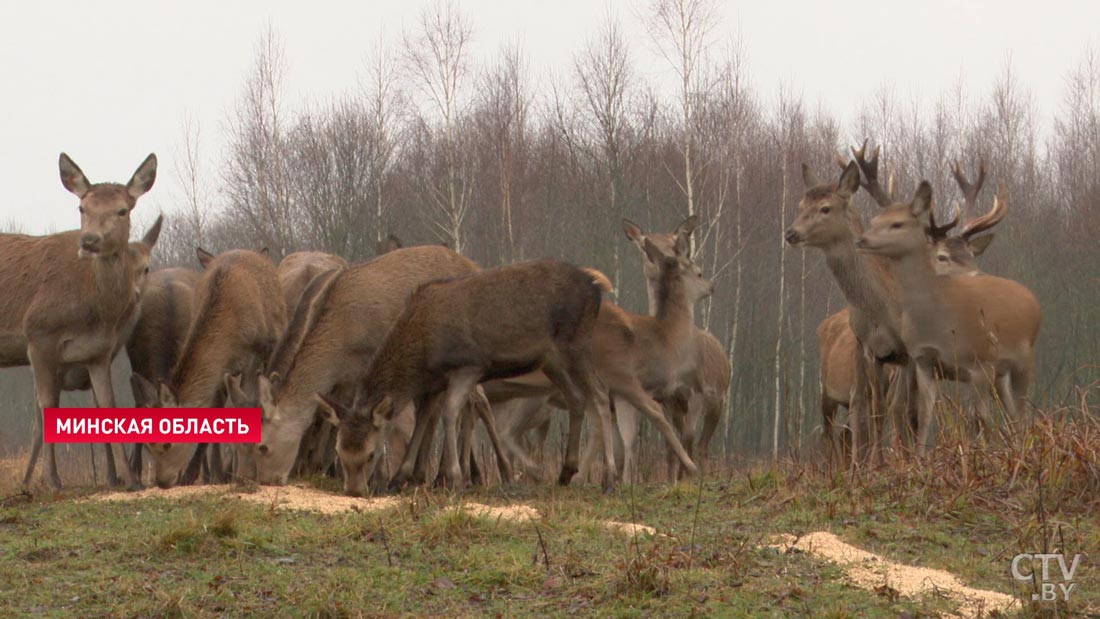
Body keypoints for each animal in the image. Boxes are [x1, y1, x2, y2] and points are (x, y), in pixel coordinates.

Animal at [0, 153, 159, 490]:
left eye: (122, 209)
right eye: (82, 208)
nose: (89, 240)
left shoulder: (98, 353)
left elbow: (109, 406)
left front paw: (128, 479)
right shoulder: (38, 335)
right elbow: (47, 407)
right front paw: (51, 479)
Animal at [139, 248, 288, 490]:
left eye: (168, 443)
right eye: (148, 443)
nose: (161, 481)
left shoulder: (252, 357)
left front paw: (238, 472)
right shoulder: (221, 369)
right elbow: (215, 406)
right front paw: (197, 474)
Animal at [858, 183, 1038, 455]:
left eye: (971, 254)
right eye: (942, 256)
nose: (980, 277)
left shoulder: (977, 363)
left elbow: (978, 417)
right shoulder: (920, 361)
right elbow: (917, 412)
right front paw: (918, 457)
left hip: (1016, 363)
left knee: (1018, 413)